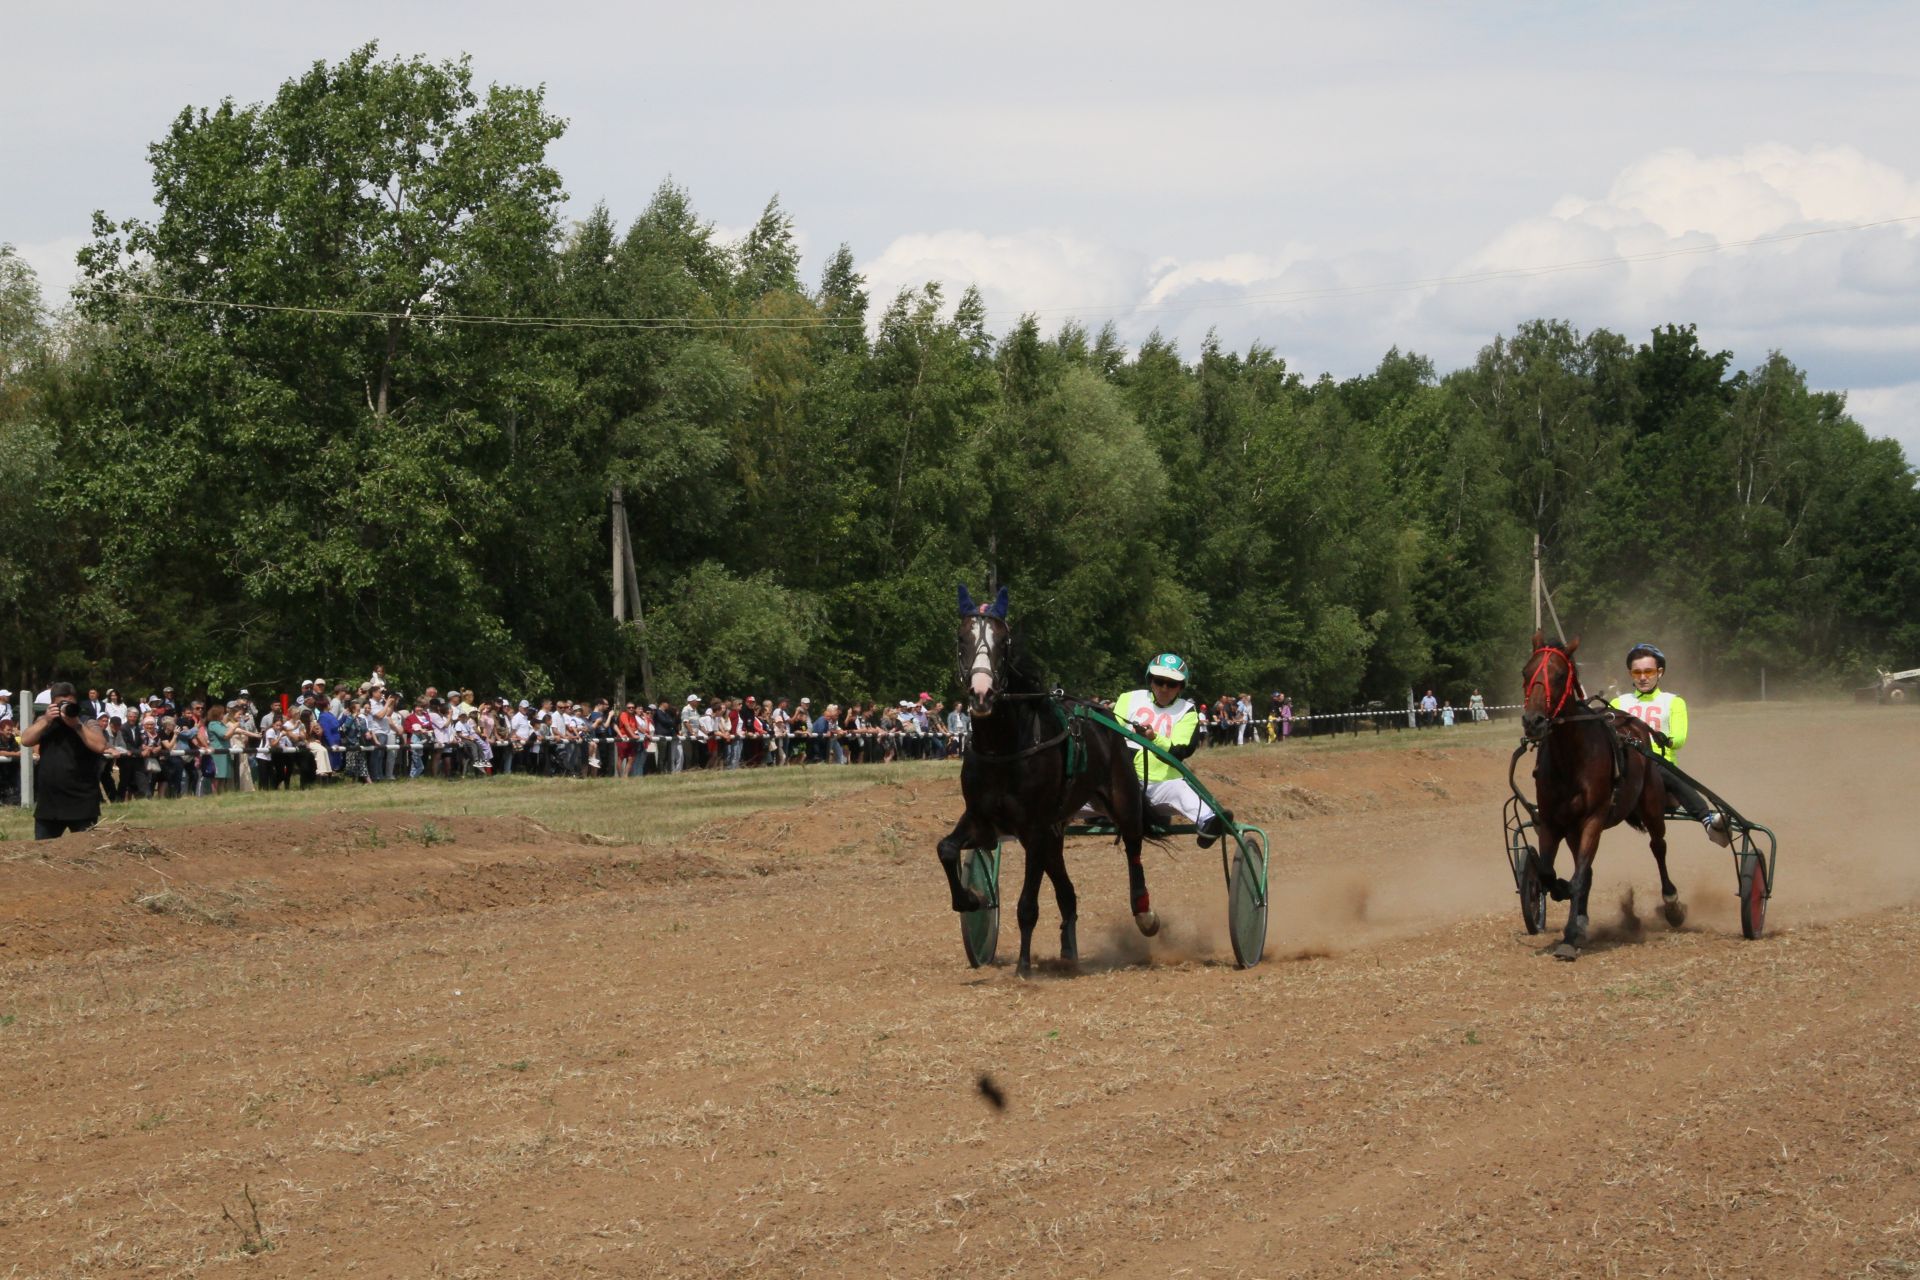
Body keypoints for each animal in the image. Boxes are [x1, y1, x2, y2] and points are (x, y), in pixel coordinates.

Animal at [936, 587, 1159, 974]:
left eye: (1003, 641)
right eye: (962, 639)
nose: (982, 693)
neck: (1004, 747)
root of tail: (1103, 714)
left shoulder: (1034, 828)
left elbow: (1027, 904)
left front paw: (1023, 967)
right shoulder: (982, 820)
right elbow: (946, 849)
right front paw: (972, 899)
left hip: (1122, 798)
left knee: (1133, 844)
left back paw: (1143, 913)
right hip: (1055, 833)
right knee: (1068, 893)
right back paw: (1068, 951)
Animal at [1512, 629, 1681, 959]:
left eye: (1559, 674)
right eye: (1525, 672)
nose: (1533, 721)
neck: (1570, 759)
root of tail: (1632, 724)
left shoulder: (1592, 819)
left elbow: (1579, 877)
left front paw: (1568, 937)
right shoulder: (1552, 822)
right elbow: (1550, 873)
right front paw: (1565, 902)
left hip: (1652, 807)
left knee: (1659, 846)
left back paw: (1672, 904)